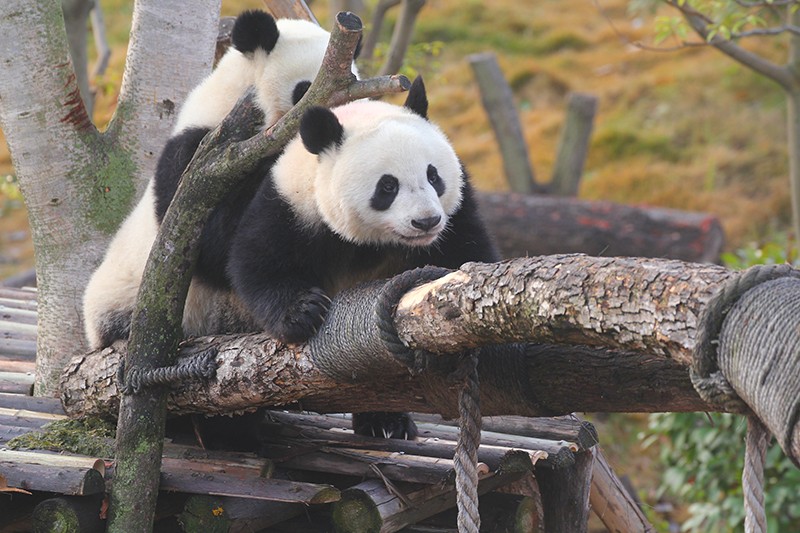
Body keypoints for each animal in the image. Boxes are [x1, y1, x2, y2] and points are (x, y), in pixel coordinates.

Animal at [227, 77, 500, 438]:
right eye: (388, 186)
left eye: (433, 175)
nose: (426, 221)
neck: (372, 242)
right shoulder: (291, 205)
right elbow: (260, 261)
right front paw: (304, 312)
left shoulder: (456, 216)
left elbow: (467, 254)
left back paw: (386, 422)